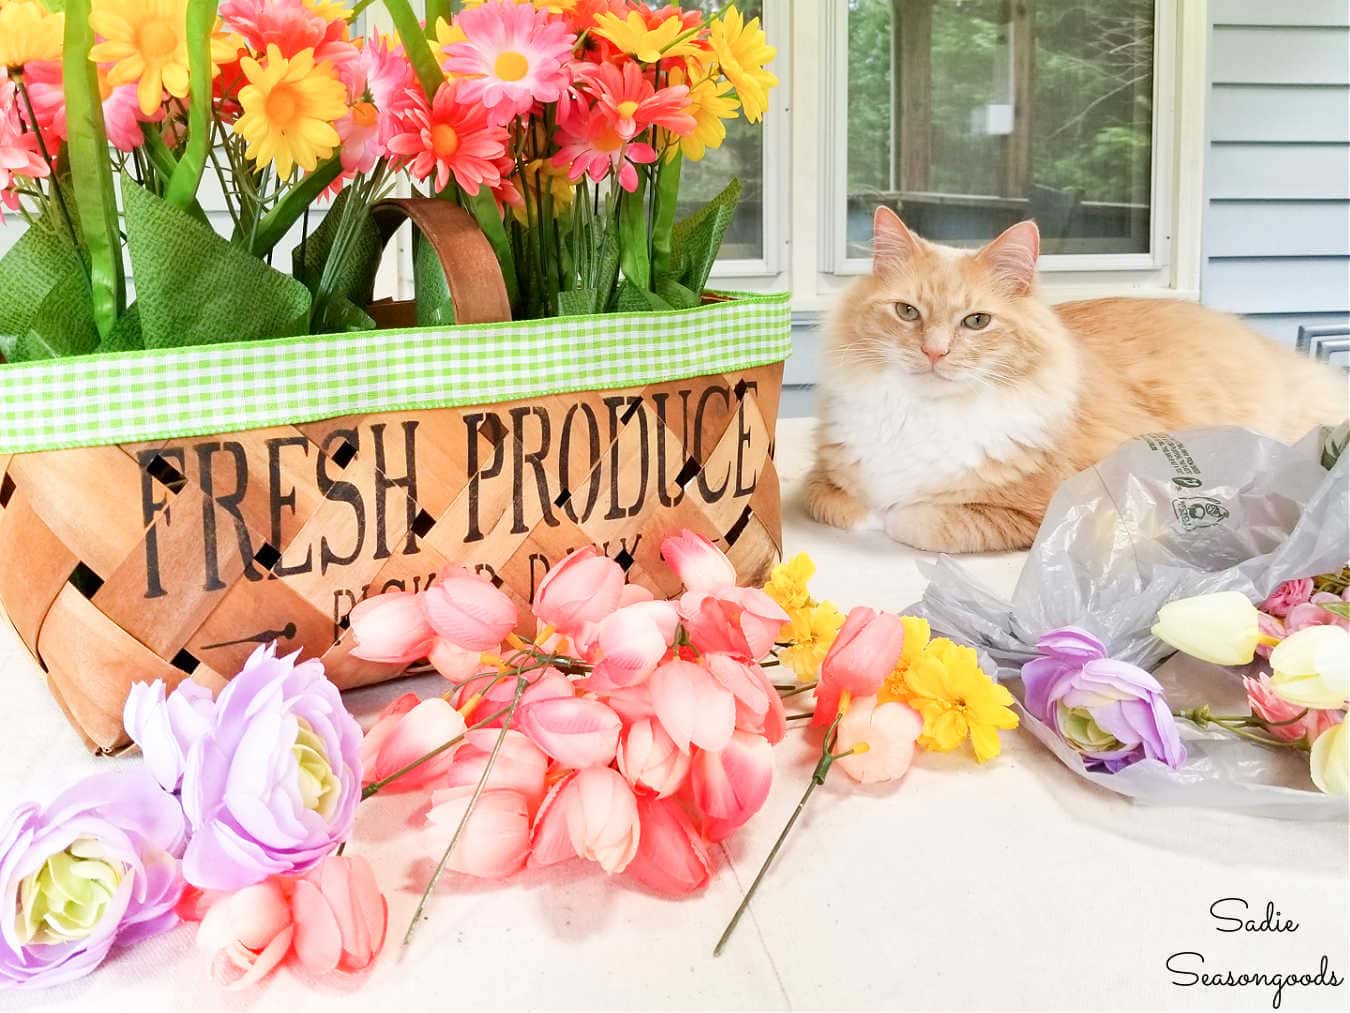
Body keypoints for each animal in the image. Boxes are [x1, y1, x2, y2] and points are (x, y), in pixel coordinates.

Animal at [804, 208, 1344, 556]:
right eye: (907, 312)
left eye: (976, 322)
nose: (935, 352)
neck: (923, 417)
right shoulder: (822, 480)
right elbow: (843, 505)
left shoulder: (1040, 510)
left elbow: (914, 517)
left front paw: (892, 514)